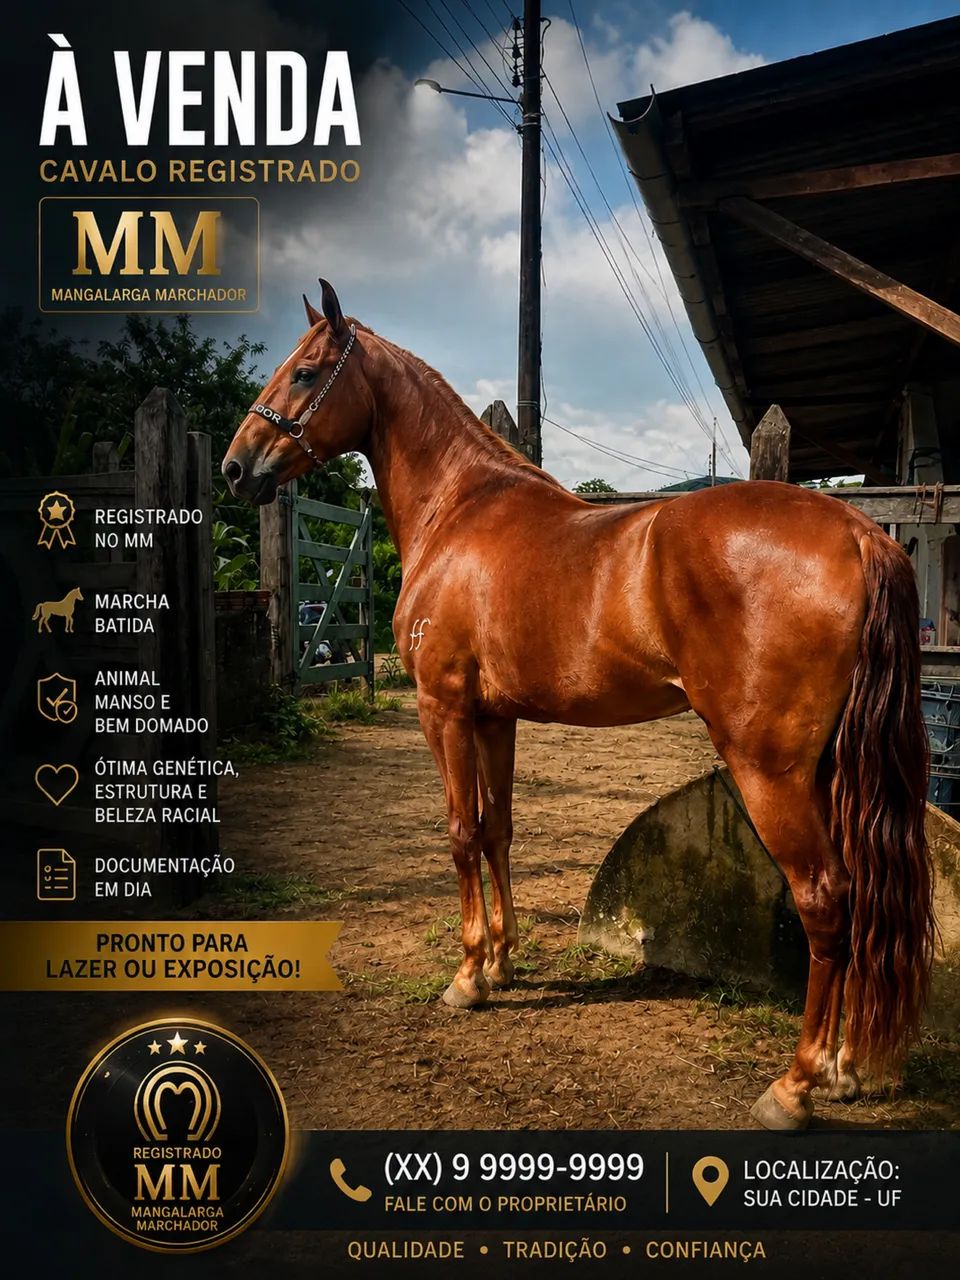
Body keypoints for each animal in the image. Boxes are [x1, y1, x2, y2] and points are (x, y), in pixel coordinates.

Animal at [222, 279, 934, 1131]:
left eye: (305, 372)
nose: (235, 468)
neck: (459, 512)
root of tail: (862, 533)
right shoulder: (494, 717)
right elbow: (497, 829)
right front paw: (502, 962)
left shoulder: (443, 709)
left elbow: (460, 833)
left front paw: (466, 977)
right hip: (830, 767)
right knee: (863, 897)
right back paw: (847, 1068)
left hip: (771, 769)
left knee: (827, 899)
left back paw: (794, 1086)